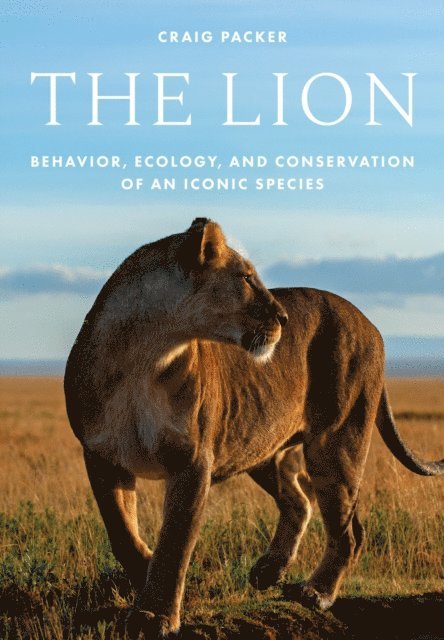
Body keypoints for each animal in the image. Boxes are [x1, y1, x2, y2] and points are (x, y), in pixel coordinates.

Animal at [64, 218, 443, 638]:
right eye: (246, 277)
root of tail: (371, 324)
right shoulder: (102, 456)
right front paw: (146, 577)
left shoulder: (192, 462)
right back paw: (269, 570)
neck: (145, 355)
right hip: (261, 447)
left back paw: (316, 592)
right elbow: (123, 534)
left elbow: (175, 543)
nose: (284, 319)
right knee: (299, 501)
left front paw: (156, 614)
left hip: (336, 441)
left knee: (348, 531)